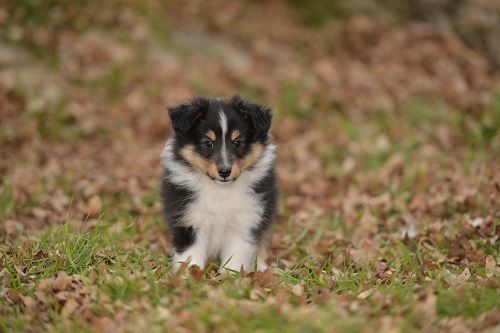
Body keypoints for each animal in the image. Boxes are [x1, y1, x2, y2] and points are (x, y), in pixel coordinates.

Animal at [160, 94, 278, 272]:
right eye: (208, 143)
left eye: (238, 142)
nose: (224, 171)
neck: (220, 190)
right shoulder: (189, 221)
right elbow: (190, 256)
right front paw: (188, 276)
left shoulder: (243, 224)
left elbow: (235, 258)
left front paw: (229, 276)